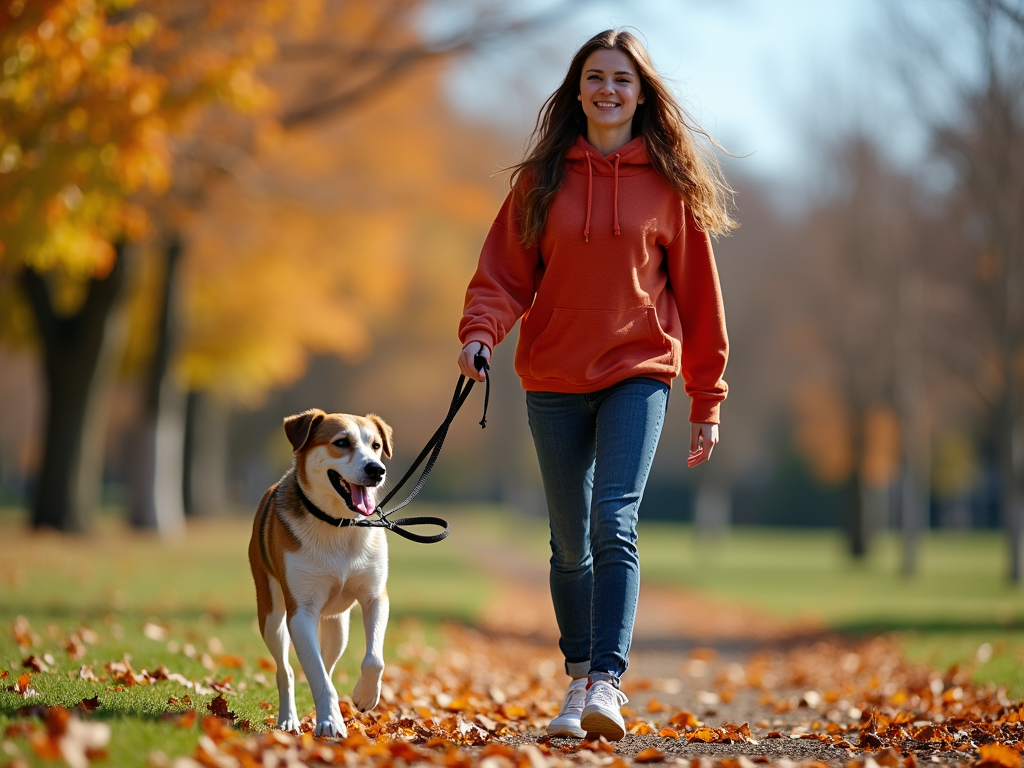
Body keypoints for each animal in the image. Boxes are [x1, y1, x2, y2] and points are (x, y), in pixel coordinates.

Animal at [246, 409, 391, 741]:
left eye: (376, 445)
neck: (339, 524)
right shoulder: (301, 612)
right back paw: (289, 719)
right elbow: (314, 675)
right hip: (271, 616)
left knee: (327, 662)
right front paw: (330, 722)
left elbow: (374, 660)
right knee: (286, 670)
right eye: (342, 442)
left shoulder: (375, 596)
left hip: (338, 626)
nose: (376, 470)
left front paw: (365, 696)